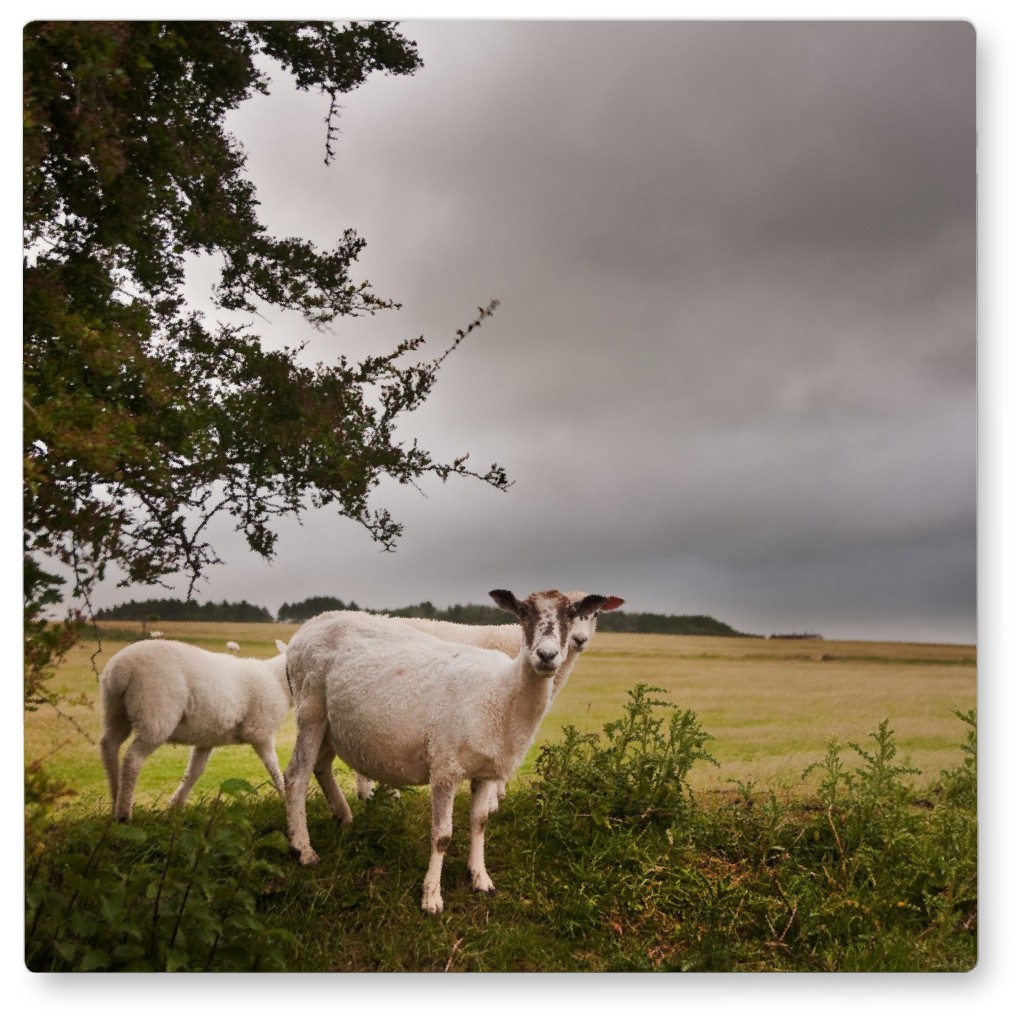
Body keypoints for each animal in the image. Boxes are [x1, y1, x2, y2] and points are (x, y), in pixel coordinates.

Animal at [99, 638, 290, 822]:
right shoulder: (260, 732)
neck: (279, 681)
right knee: (133, 759)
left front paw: (176, 805)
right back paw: (123, 813)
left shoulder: (207, 738)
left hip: (116, 710)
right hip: (155, 711)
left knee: (109, 745)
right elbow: (274, 767)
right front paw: (285, 797)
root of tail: (120, 668)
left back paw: (115, 796)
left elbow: (195, 771)